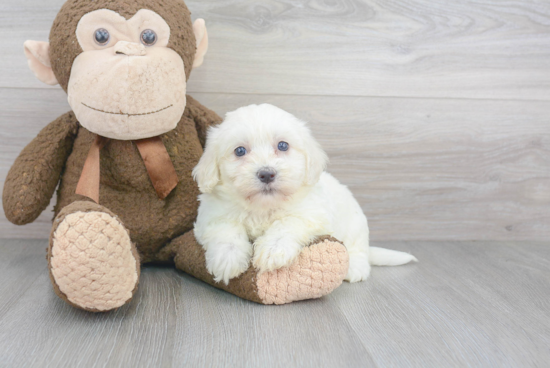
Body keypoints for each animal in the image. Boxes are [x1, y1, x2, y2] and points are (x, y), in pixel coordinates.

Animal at [194, 103, 418, 284]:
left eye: (283, 145)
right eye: (240, 151)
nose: (266, 174)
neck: (263, 207)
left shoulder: (312, 214)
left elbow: (287, 223)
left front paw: (272, 250)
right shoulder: (212, 215)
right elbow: (225, 230)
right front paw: (227, 258)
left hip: (356, 227)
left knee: (358, 249)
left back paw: (355, 267)